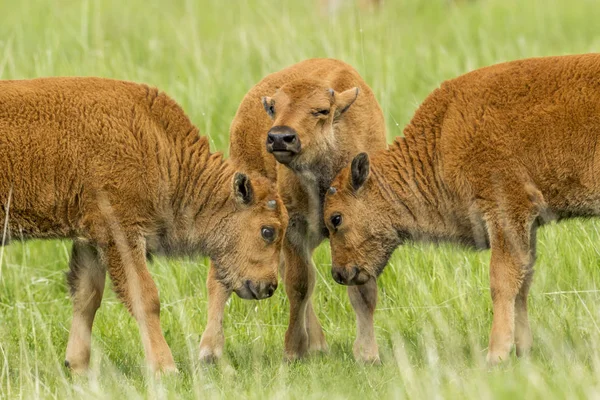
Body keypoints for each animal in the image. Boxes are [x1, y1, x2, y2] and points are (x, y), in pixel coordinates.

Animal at [0, 78, 288, 376]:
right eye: (268, 231)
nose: (269, 287)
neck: (156, 142)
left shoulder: (90, 239)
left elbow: (87, 296)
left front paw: (78, 366)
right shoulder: (120, 232)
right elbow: (146, 298)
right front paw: (166, 368)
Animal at [227, 57, 386, 360]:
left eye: (321, 110)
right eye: (274, 109)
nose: (280, 138)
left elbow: (362, 289)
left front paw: (367, 354)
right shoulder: (294, 227)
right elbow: (299, 284)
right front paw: (293, 351)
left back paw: (320, 344)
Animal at [324, 54, 600, 366]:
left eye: (336, 218)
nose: (339, 273)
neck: (443, 133)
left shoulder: (505, 211)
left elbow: (502, 281)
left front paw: (496, 355)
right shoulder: (526, 226)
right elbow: (523, 282)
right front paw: (522, 350)